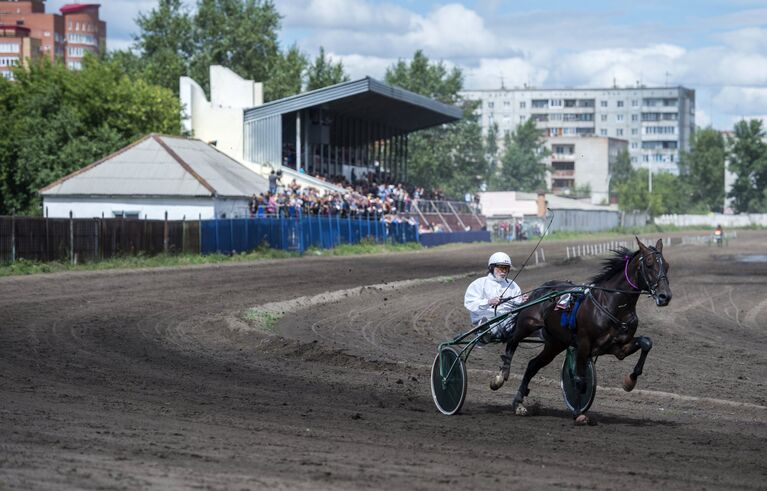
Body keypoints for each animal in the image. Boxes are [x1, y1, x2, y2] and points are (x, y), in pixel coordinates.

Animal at [492, 236, 672, 424]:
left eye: (666, 265)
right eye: (649, 264)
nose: (665, 296)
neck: (612, 305)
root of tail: (542, 289)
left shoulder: (618, 348)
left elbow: (646, 343)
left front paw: (630, 381)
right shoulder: (584, 344)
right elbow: (580, 379)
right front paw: (579, 412)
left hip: (555, 343)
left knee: (532, 365)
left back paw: (518, 403)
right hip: (528, 324)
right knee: (512, 341)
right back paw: (501, 376)